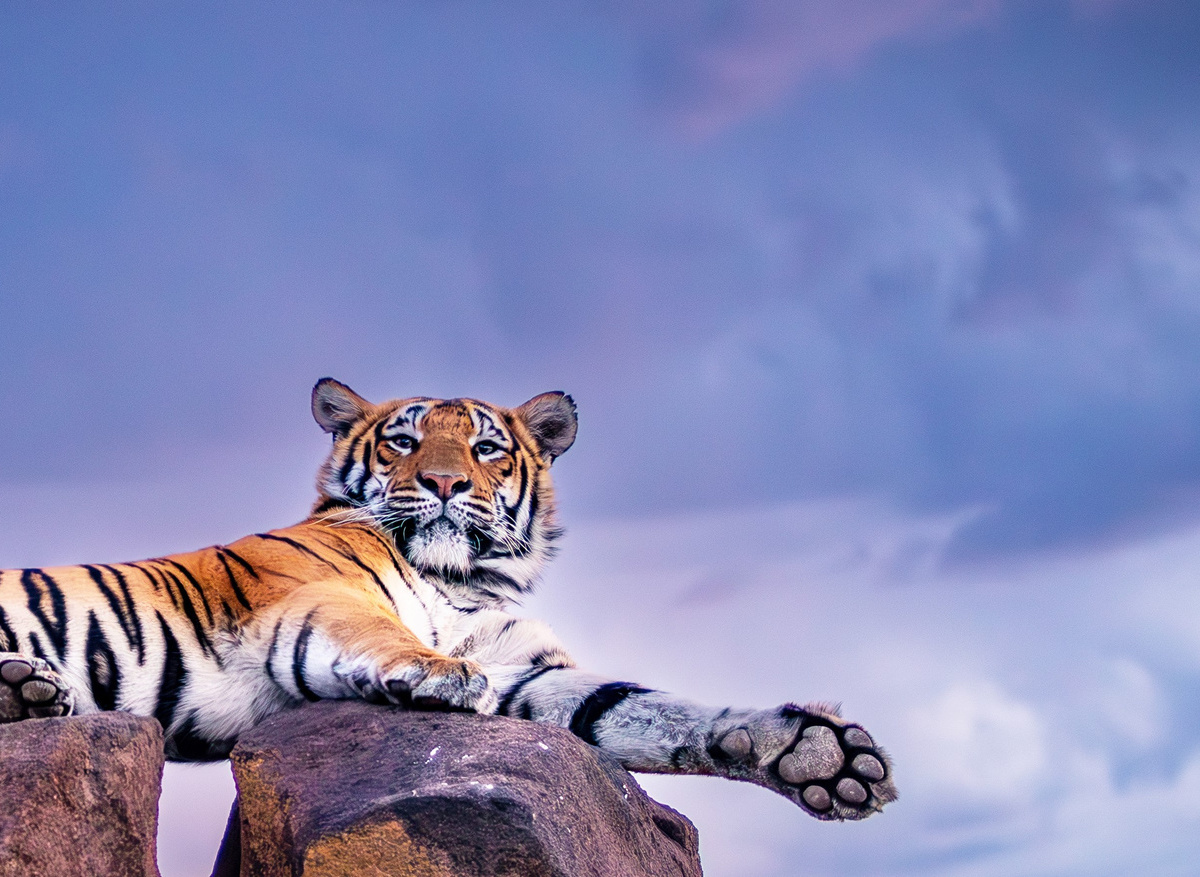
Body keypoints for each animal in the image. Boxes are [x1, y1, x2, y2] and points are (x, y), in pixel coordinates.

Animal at [0, 379, 897, 821]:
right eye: (402, 439)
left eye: (487, 447)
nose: (441, 481)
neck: (465, 577)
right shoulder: (313, 599)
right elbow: (387, 635)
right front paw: (440, 677)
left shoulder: (532, 672)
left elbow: (645, 708)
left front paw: (819, 756)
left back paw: (30, 690)